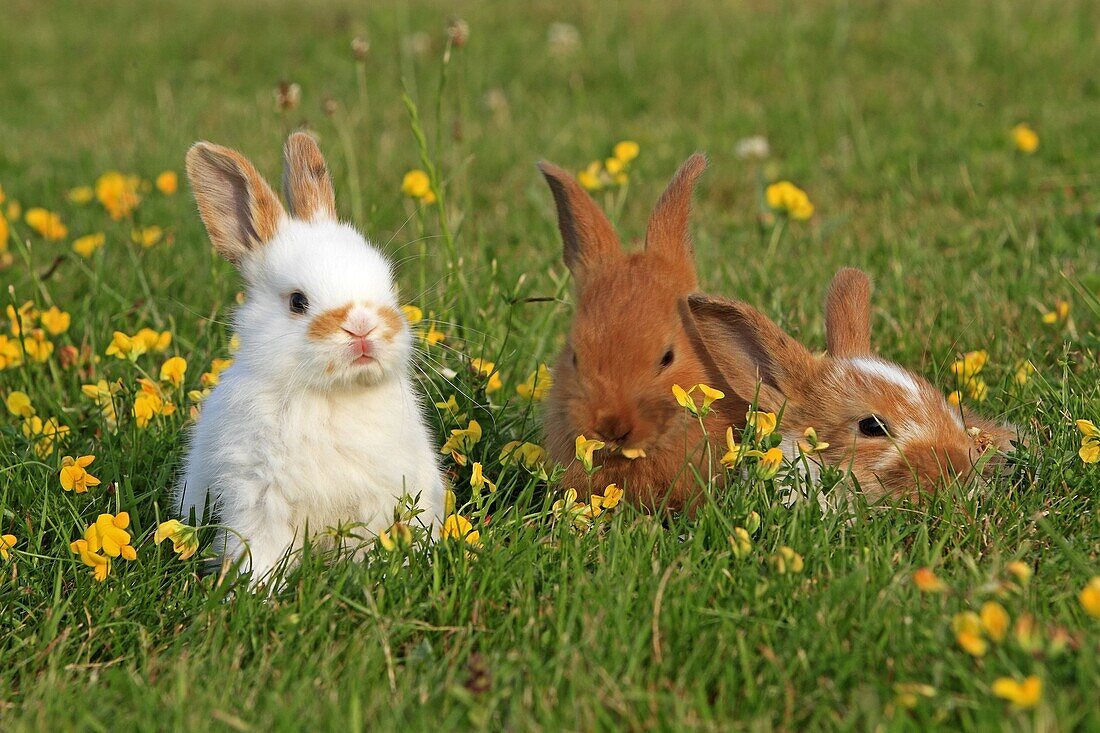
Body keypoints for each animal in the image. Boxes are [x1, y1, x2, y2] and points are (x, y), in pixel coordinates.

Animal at [176, 129, 442, 576]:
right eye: (298, 302)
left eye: (388, 283)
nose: (363, 326)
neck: (332, 395)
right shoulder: (259, 498)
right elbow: (261, 552)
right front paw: (254, 589)